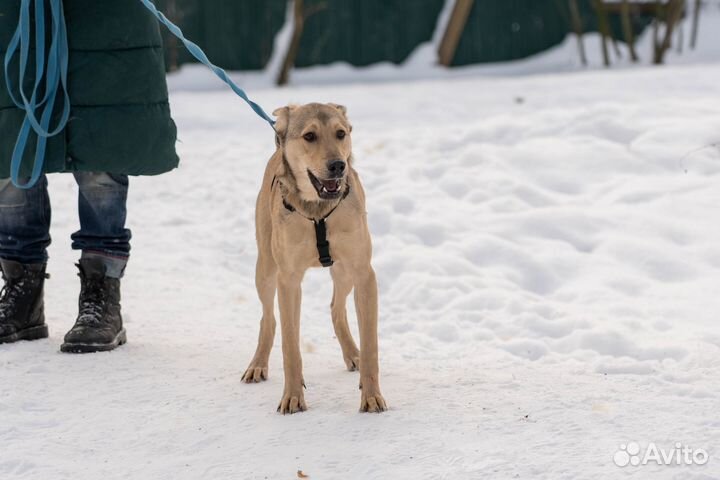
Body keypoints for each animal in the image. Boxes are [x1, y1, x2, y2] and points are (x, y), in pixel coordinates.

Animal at [240, 101, 388, 412]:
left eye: (341, 133)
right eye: (309, 136)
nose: (338, 165)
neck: (318, 211)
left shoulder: (363, 273)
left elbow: (371, 346)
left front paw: (371, 395)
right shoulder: (288, 280)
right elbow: (290, 347)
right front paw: (293, 397)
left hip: (343, 271)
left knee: (336, 307)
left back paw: (353, 353)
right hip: (265, 268)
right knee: (268, 318)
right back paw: (258, 364)